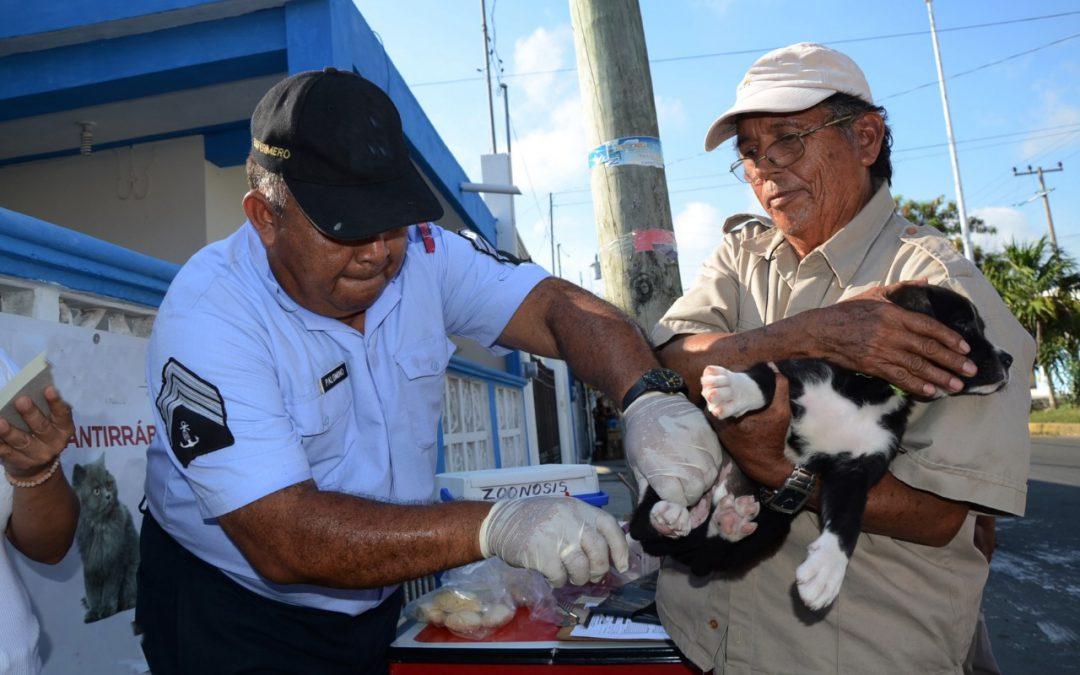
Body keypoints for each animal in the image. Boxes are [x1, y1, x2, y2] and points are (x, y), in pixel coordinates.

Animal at [630, 285, 1010, 609]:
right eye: (964, 323)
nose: (1008, 359)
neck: (868, 390)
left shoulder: (857, 467)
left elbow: (847, 519)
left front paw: (827, 571)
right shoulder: (796, 371)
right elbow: (767, 377)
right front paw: (733, 390)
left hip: (773, 523)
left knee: (709, 552)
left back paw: (728, 521)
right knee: (644, 521)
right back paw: (671, 512)